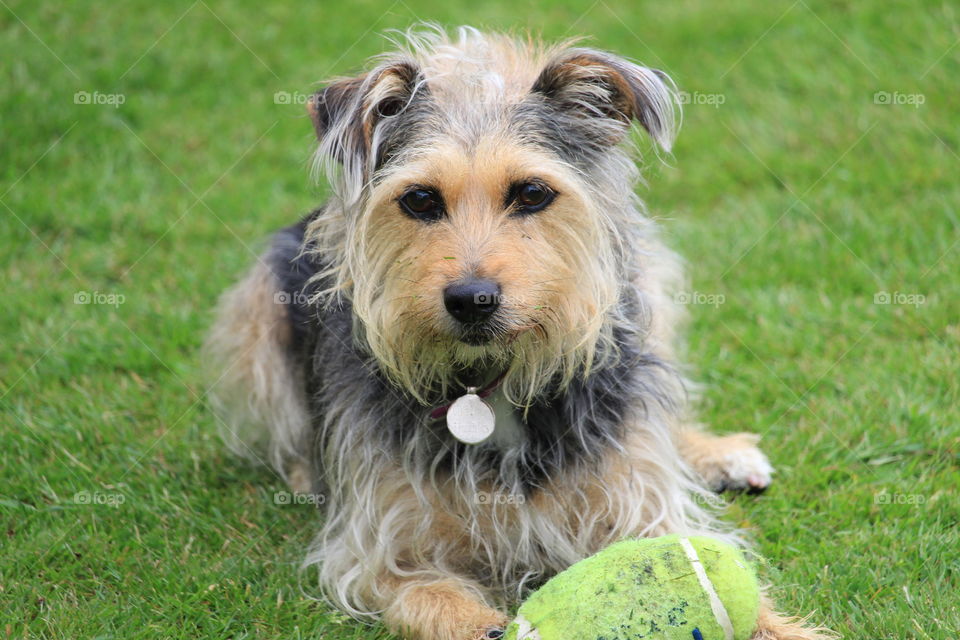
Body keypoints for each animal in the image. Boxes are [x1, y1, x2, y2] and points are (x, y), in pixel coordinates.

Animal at [206, 25, 828, 640]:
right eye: (419, 199)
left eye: (532, 193)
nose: (471, 300)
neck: (490, 386)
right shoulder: (377, 550)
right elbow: (428, 596)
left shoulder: (641, 503)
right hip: (259, 315)